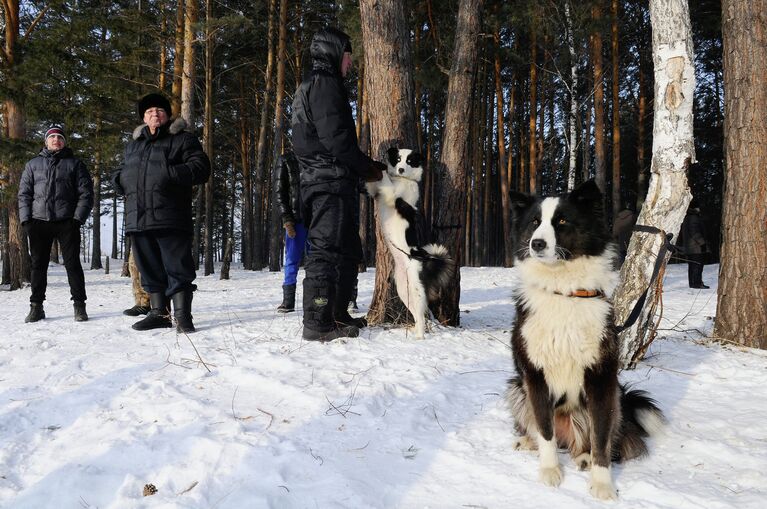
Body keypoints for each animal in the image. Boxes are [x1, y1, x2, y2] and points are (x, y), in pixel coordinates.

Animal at [368, 147, 456, 338]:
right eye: (398, 159)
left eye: (409, 161)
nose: (400, 169)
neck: (403, 180)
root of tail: (424, 257)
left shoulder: (393, 195)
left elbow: (385, 179)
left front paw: (381, 166)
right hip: (403, 289)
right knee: (416, 314)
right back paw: (414, 333)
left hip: (416, 290)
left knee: (422, 315)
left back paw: (420, 337)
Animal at [508, 180, 664, 500]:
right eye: (534, 222)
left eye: (561, 222)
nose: (536, 244)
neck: (564, 290)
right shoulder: (535, 375)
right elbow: (544, 429)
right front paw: (550, 471)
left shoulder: (601, 379)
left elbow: (602, 439)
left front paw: (602, 484)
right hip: (516, 388)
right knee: (539, 428)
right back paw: (529, 442)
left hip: (613, 398)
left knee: (598, 440)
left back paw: (583, 457)